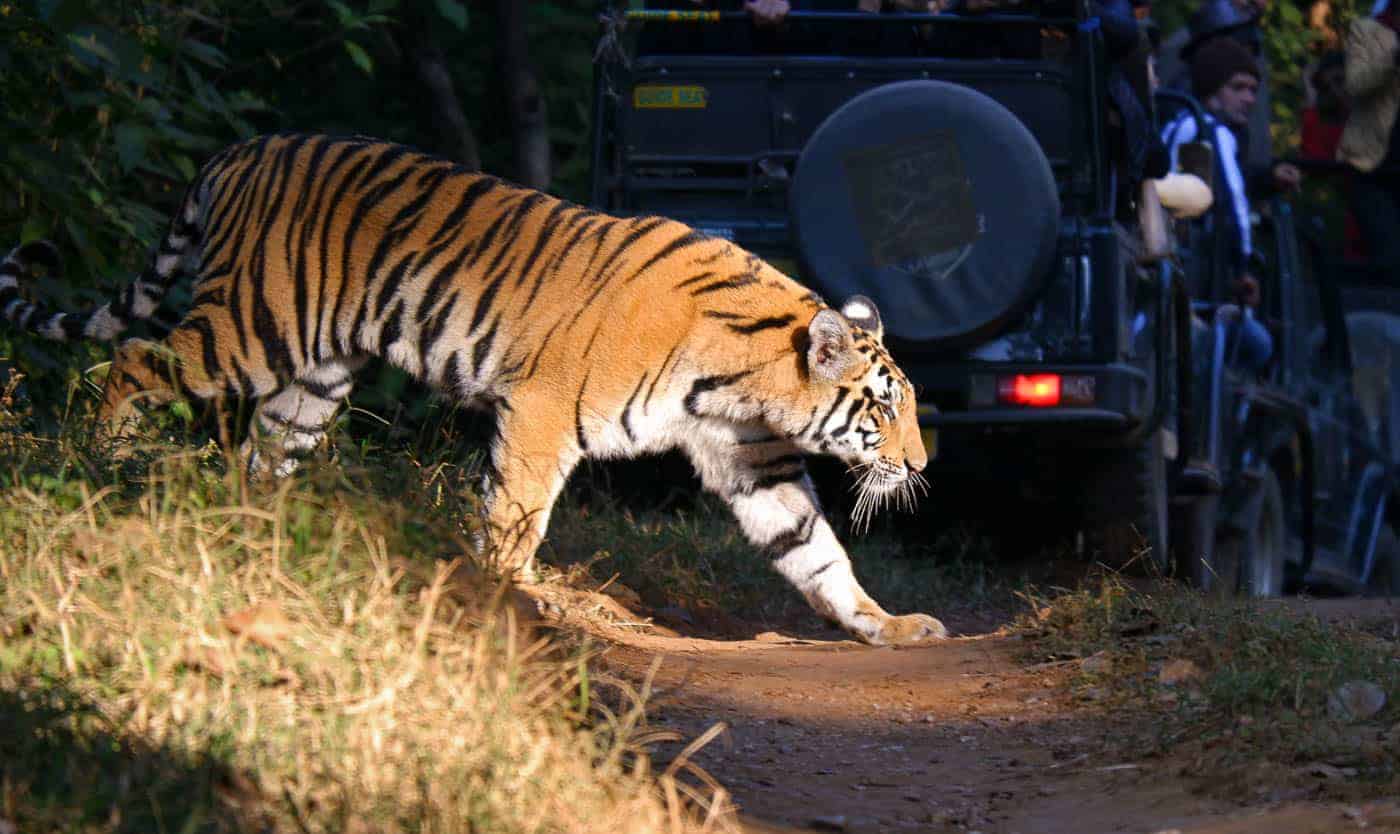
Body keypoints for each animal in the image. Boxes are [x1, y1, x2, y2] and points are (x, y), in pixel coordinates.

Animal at [5, 135, 946, 643]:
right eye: (884, 405)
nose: (919, 466)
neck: (745, 382)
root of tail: (246, 148)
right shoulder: (543, 412)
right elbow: (518, 514)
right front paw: (511, 597)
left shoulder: (752, 463)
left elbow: (817, 552)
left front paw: (888, 625)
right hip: (250, 327)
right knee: (130, 362)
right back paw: (107, 462)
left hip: (313, 378)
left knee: (261, 449)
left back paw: (252, 524)